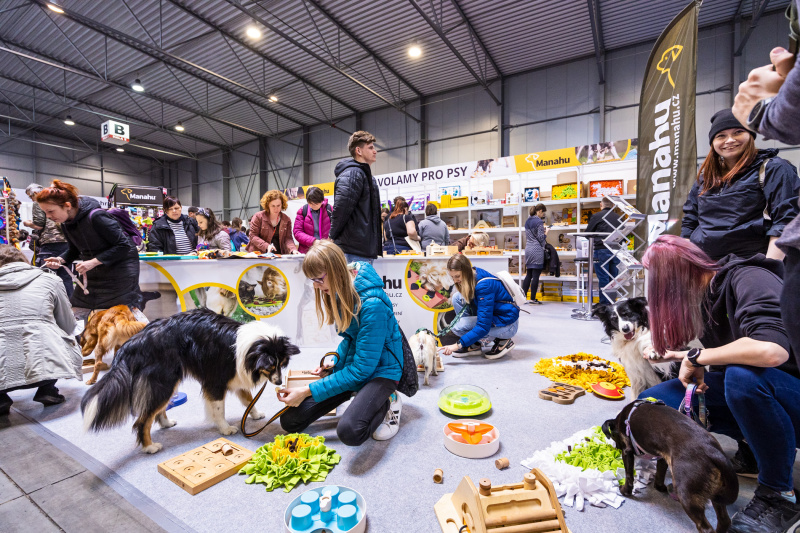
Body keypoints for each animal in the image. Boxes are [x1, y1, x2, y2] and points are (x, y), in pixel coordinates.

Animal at [81, 308, 299, 454]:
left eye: (282, 364)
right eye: (271, 367)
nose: (278, 382)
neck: (250, 350)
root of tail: (134, 341)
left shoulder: (235, 375)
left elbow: (247, 398)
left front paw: (254, 414)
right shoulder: (216, 380)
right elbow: (219, 408)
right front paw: (225, 428)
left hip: (170, 381)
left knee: (157, 411)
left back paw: (166, 423)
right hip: (164, 381)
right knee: (143, 420)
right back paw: (150, 446)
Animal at [602, 401, 738, 533]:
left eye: (614, 437)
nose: (616, 447)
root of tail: (714, 452)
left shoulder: (627, 451)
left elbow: (629, 476)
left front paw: (625, 491)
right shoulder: (663, 457)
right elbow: (660, 474)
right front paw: (660, 487)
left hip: (686, 495)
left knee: (706, 528)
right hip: (717, 495)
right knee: (724, 521)